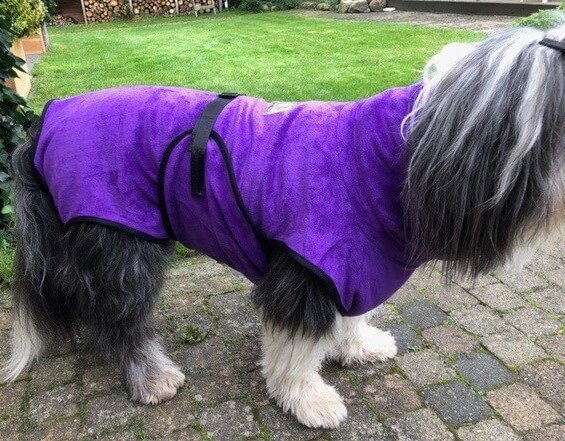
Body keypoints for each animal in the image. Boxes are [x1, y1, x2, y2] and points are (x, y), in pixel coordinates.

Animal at [4, 23, 564, 426]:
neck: (401, 157)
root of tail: (44, 121)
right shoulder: (305, 268)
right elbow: (295, 350)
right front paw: (308, 399)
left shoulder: (350, 263)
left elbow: (350, 316)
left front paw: (358, 346)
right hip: (122, 240)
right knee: (119, 315)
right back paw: (150, 375)